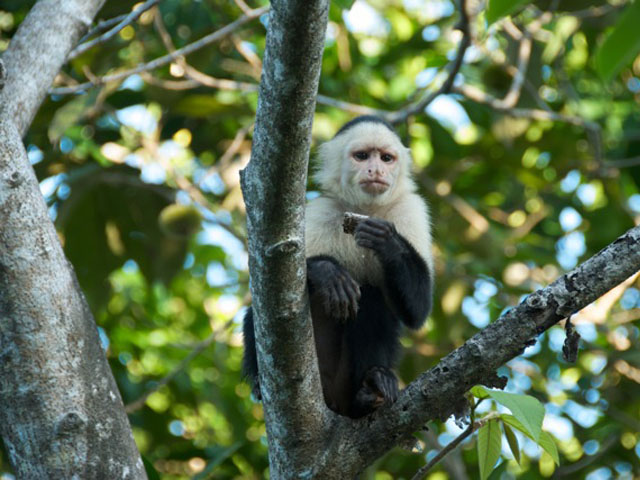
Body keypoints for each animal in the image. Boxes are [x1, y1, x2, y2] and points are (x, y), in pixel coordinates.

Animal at [243, 115, 433, 418]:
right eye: (362, 156)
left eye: (387, 158)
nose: (376, 169)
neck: (365, 209)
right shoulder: (323, 211)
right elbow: (269, 275)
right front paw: (327, 272)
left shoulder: (411, 209)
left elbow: (418, 310)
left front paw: (386, 241)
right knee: (261, 311)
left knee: (373, 296)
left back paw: (371, 387)